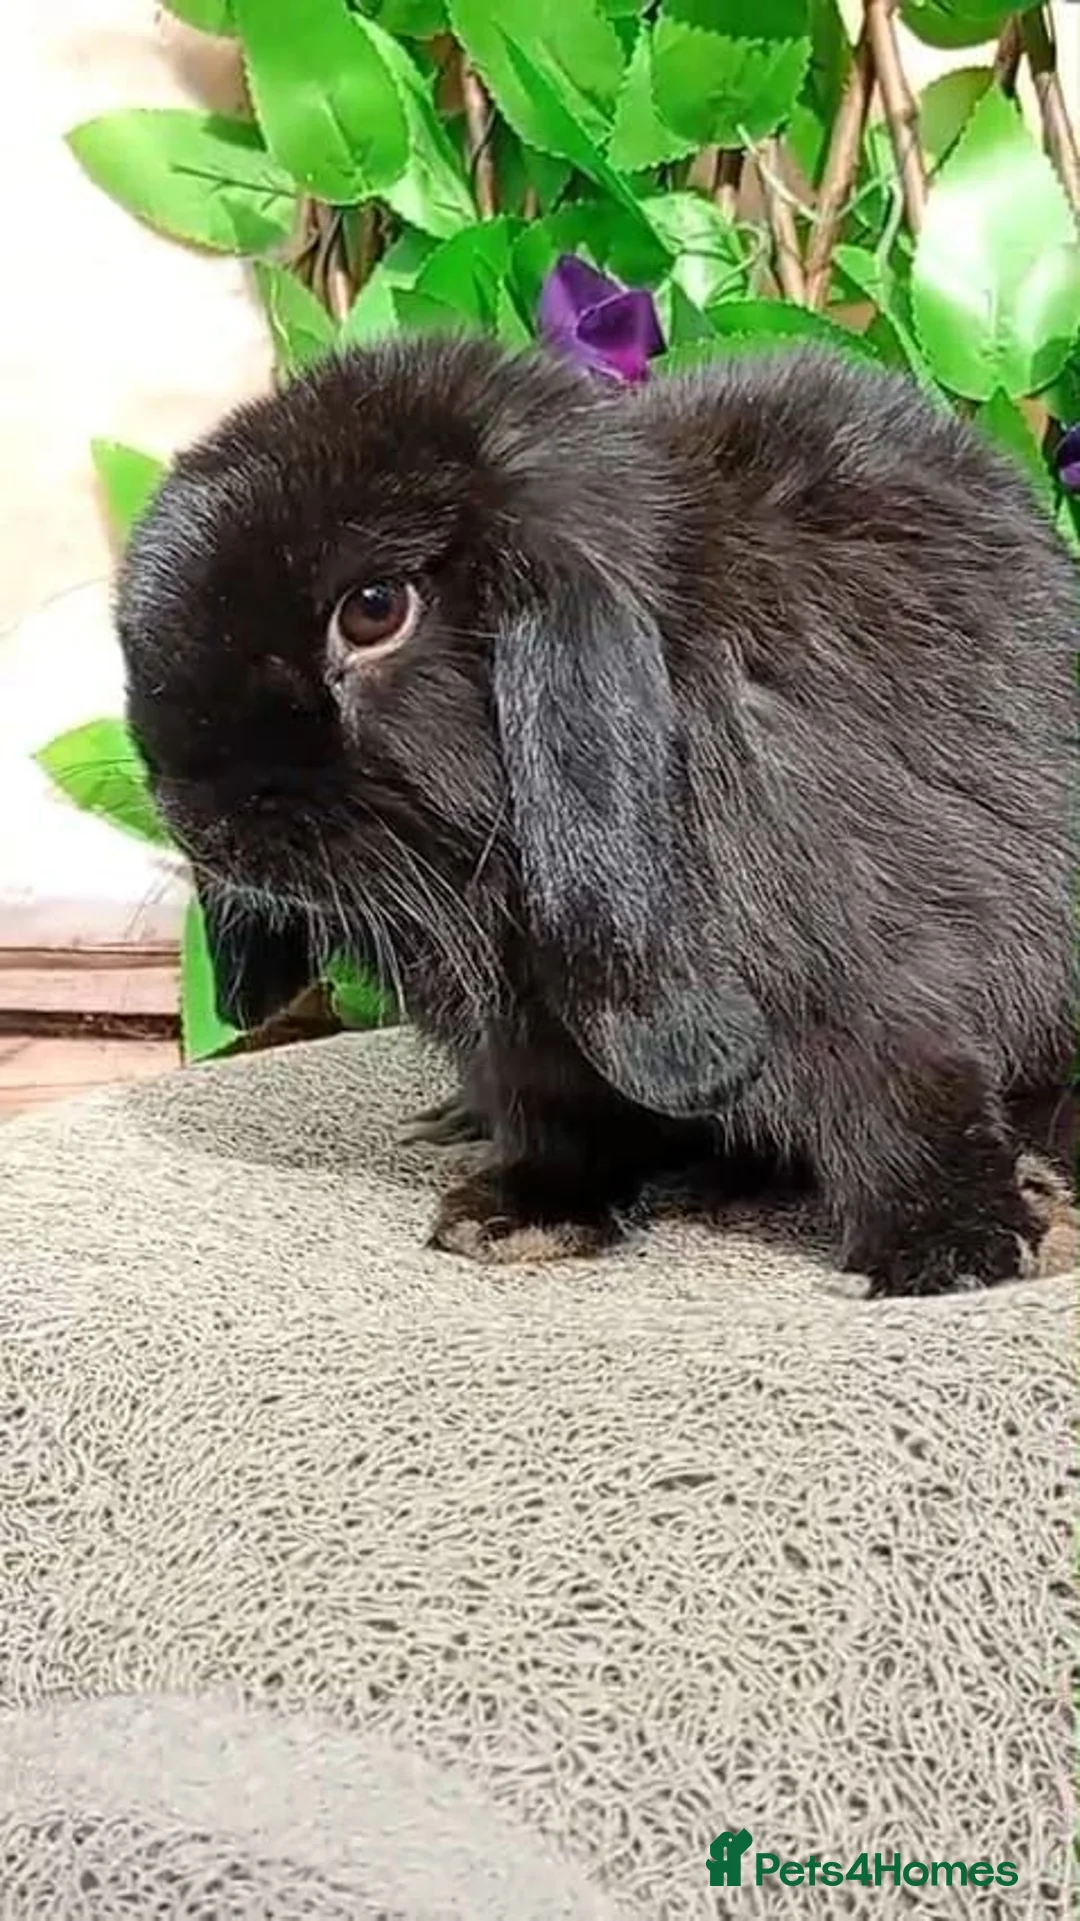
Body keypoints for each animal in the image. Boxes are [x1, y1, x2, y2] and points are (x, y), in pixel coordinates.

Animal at [115, 331, 1076, 1295]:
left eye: (375, 610)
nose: (201, 821)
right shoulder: (522, 1047)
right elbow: (558, 1123)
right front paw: (512, 1218)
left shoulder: (878, 970)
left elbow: (907, 1099)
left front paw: (949, 1254)